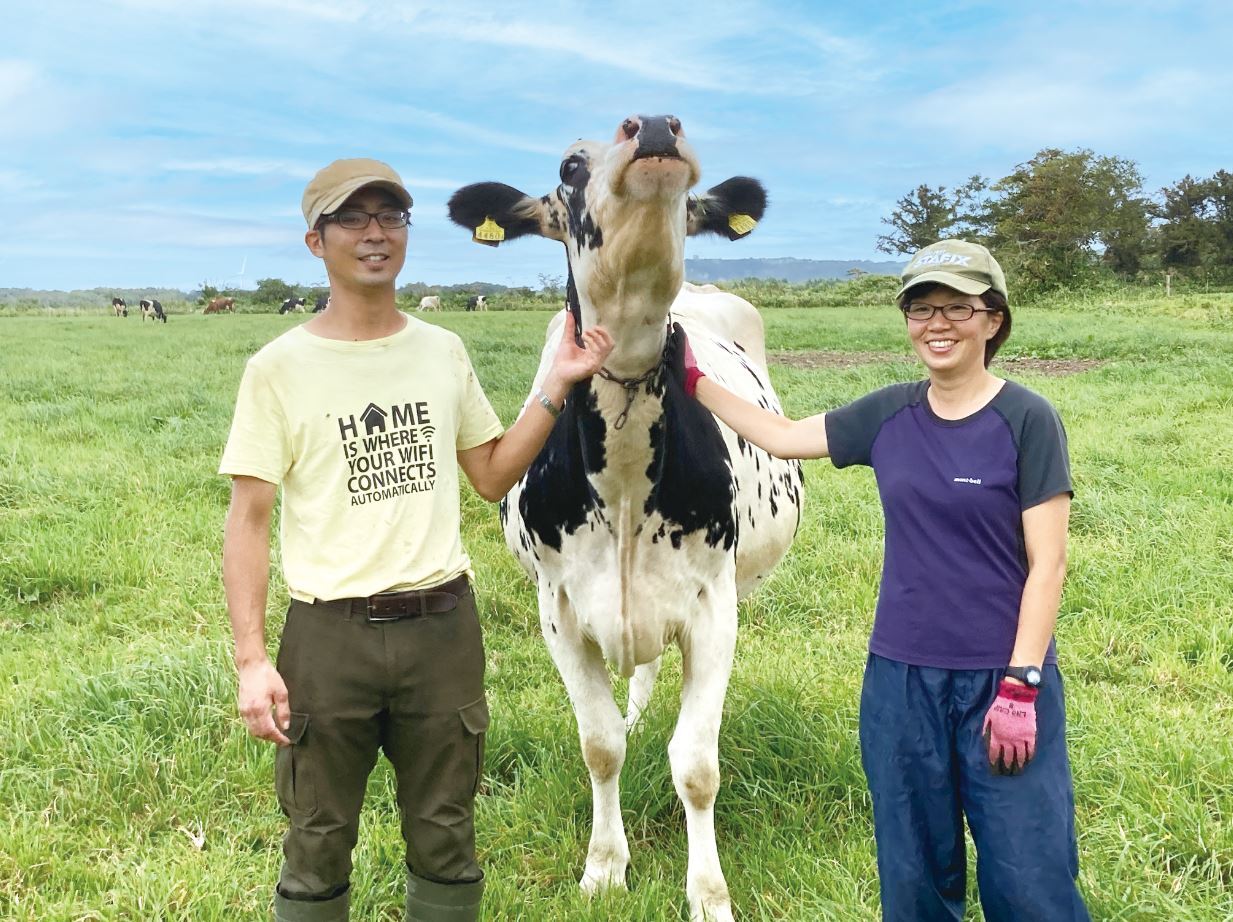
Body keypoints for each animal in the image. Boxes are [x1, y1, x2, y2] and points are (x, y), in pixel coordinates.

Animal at [448, 115, 803, 922]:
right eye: (569, 166)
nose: (655, 126)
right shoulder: (558, 605)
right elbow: (600, 744)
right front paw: (605, 866)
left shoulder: (714, 603)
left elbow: (696, 765)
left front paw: (707, 893)